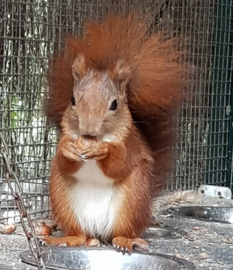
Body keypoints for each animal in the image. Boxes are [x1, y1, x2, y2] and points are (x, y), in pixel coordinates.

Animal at [43, 15, 187, 253]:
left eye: (114, 104)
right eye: (72, 100)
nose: (88, 131)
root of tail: (98, 230)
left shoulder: (129, 145)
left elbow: (119, 164)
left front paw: (103, 151)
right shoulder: (66, 135)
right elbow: (63, 160)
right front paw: (67, 149)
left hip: (132, 199)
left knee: (121, 231)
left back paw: (125, 241)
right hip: (62, 197)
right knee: (79, 235)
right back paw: (65, 239)